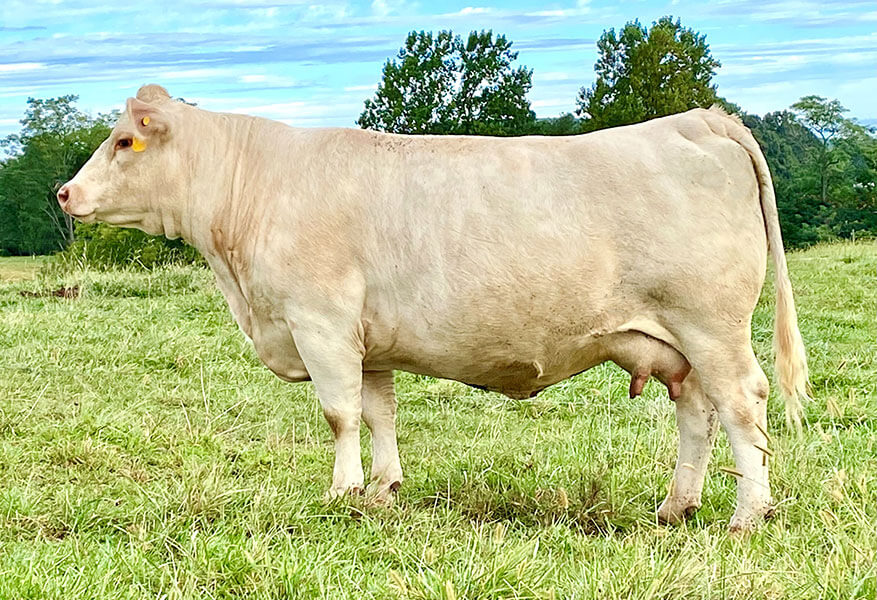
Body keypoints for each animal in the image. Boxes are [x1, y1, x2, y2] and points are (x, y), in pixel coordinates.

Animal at [57, 84, 808, 532]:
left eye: (125, 141)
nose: (64, 193)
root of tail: (696, 119)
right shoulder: (367, 340)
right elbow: (377, 412)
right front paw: (383, 489)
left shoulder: (319, 321)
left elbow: (339, 414)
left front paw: (340, 494)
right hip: (678, 340)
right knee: (697, 413)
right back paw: (675, 505)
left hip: (711, 325)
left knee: (742, 405)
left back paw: (749, 514)